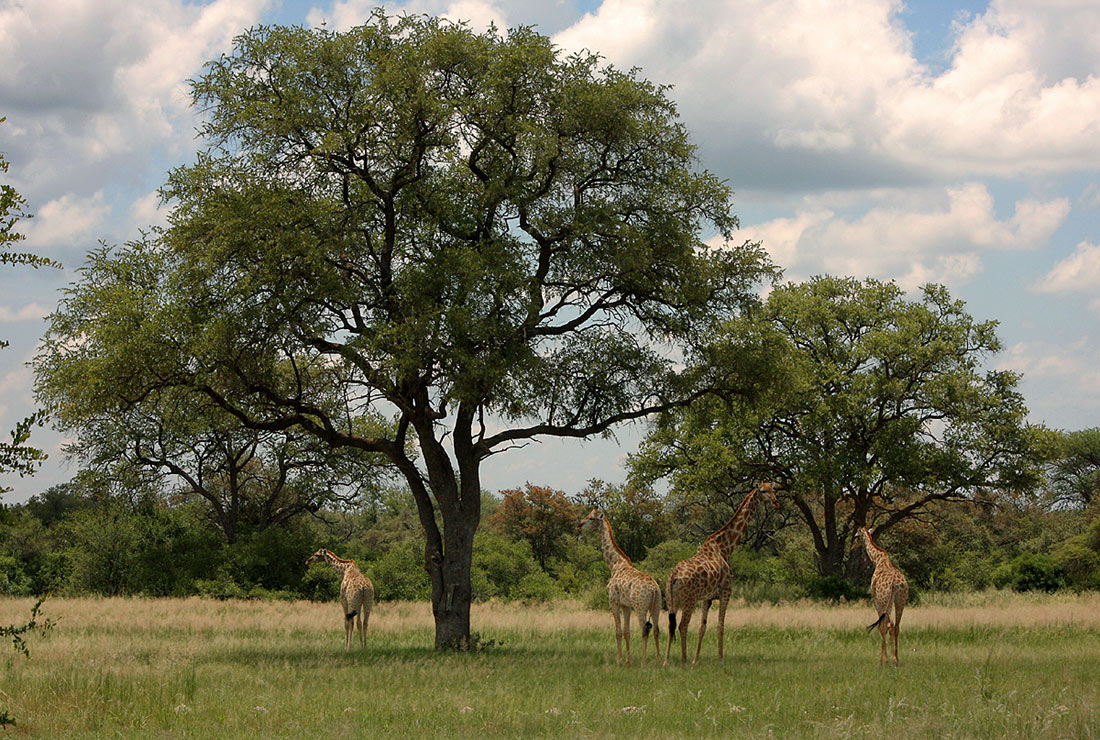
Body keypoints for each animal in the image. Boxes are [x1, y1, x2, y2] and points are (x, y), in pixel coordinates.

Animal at [585, 505, 660, 668]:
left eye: (591, 517)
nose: (579, 525)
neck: (615, 564)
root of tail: (654, 589)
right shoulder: (626, 606)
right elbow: (627, 632)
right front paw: (628, 662)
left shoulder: (613, 602)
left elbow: (618, 632)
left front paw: (619, 661)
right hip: (656, 606)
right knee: (656, 630)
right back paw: (660, 661)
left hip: (640, 606)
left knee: (644, 630)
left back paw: (644, 663)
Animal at [660, 481, 783, 668]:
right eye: (763, 491)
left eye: (773, 489)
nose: (776, 502)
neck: (726, 547)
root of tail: (673, 576)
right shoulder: (726, 592)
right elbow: (720, 625)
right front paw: (720, 660)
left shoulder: (707, 598)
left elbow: (703, 626)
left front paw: (696, 660)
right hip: (689, 600)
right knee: (682, 625)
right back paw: (683, 662)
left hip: (671, 599)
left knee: (670, 625)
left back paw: (667, 662)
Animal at [853, 525, 906, 664]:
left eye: (856, 536)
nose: (852, 547)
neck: (877, 561)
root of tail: (894, 583)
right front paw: (889, 658)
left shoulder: (875, 600)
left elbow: (881, 626)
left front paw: (882, 660)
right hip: (900, 600)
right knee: (896, 626)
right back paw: (896, 658)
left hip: (884, 600)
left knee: (888, 625)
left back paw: (890, 659)